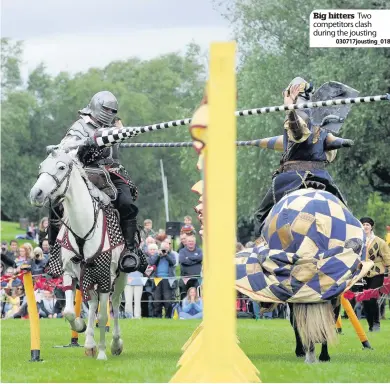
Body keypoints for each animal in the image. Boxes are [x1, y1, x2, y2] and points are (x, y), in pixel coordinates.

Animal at [31, 147, 127, 360]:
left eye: (61, 167)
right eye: (41, 166)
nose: (36, 193)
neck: (83, 226)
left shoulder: (105, 276)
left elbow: (104, 315)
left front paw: (102, 353)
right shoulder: (69, 272)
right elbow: (68, 311)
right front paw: (80, 327)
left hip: (121, 276)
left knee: (115, 304)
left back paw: (116, 344)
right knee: (92, 303)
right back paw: (89, 344)